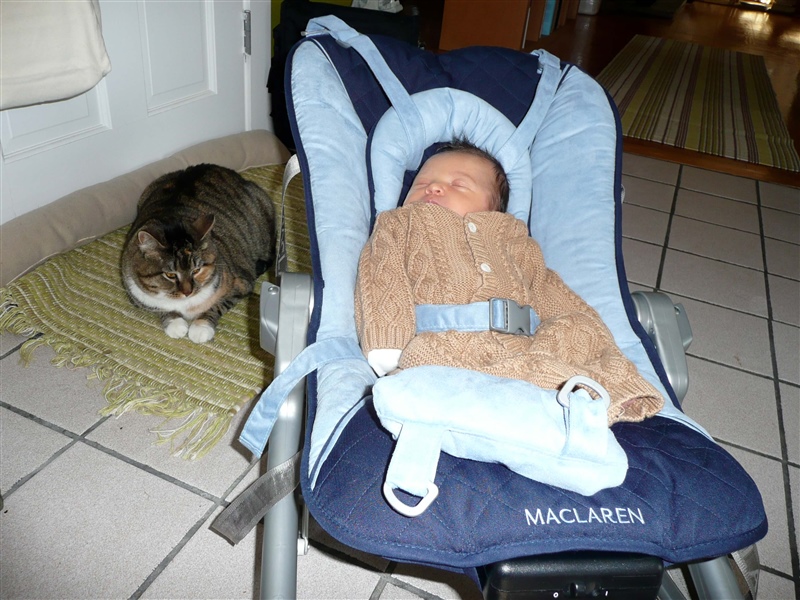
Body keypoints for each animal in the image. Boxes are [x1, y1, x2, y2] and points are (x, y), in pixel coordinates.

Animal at [121, 163, 276, 343]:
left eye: (196, 270)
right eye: (170, 275)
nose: (187, 292)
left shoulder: (241, 284)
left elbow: (216, 305)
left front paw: (200, 327)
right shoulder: (136, 294)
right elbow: (160, 308)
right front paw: (175, 324)